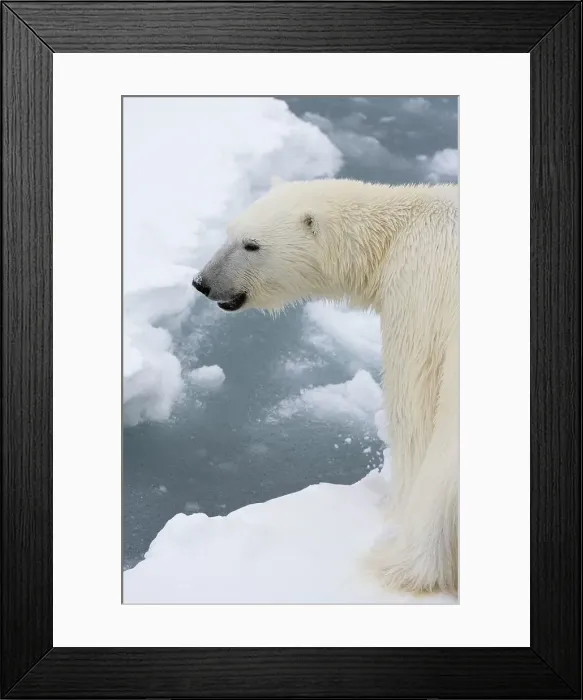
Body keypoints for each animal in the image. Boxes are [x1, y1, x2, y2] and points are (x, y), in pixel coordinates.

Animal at [192, 178, 459, 594]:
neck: (398, 231)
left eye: (252, 244)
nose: (202, 283)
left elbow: (413, 410)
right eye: (229, 233)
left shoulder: (419, 291)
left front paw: (394, 510)